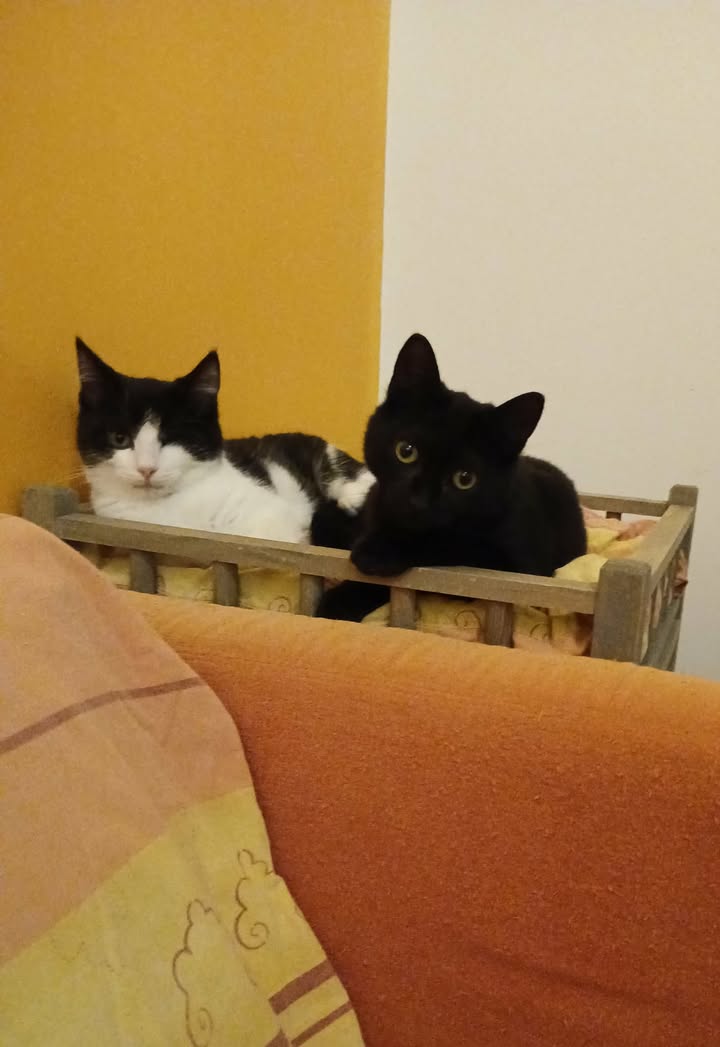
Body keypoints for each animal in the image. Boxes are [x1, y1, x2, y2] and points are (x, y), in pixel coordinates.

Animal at [316, 332, 586, 621]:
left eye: (465, 479)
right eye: (406, 451)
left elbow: (449, 547)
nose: (419, 501)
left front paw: (375, 557)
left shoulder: (516, 569)